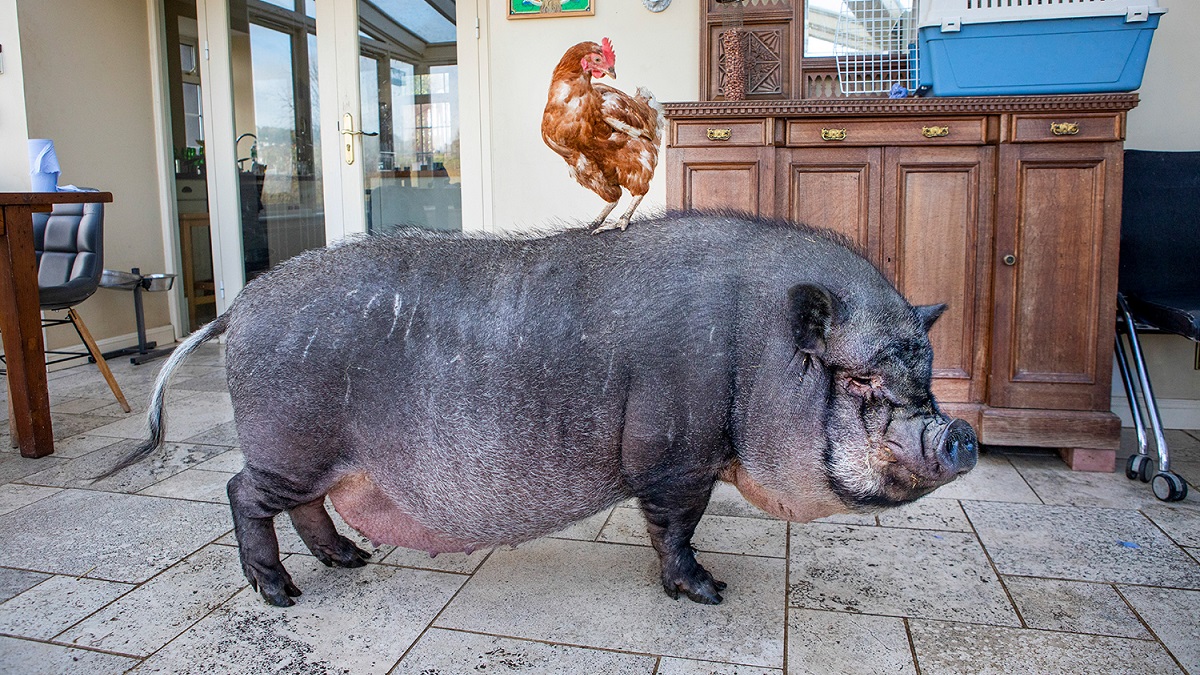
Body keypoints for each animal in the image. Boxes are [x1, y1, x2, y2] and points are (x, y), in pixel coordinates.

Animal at [105, 213, 974, 605]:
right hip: (290, 442)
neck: (753, 352)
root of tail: (239, 306)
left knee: (307, 506)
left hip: (320, 458)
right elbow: (677, 525)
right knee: (243, 492)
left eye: (926, 374)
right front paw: (710, 592)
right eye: (859, 382)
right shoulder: (677, 456)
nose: (961, 433)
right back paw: (281, 593)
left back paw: (351, 561)